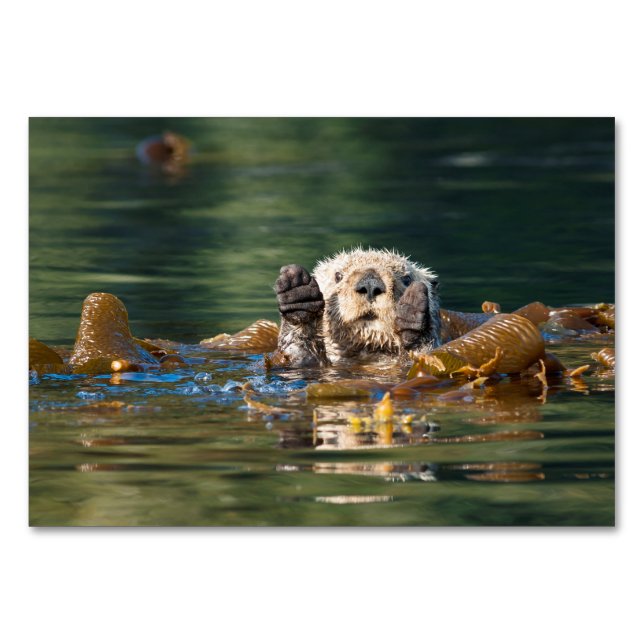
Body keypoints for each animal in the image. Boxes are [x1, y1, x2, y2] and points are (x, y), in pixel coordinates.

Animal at [273, 248, 441, 366]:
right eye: (338, 276)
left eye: (407, 278)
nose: (370, 284)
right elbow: (298, 352)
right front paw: (298, 293)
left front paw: (411, 314)